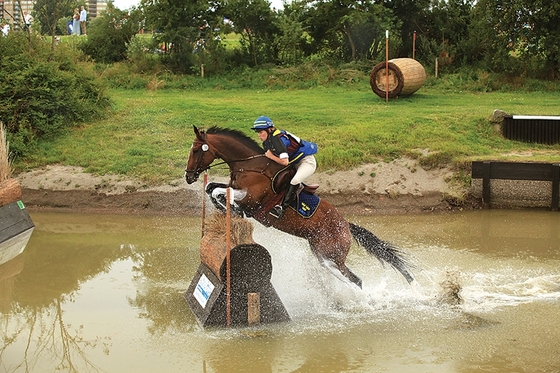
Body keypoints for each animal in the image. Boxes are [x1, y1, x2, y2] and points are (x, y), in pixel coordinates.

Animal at [185, 125, 416, 288]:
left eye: (196, 150)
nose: (188, 177)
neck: (249, 165)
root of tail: (346, 225)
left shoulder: (251, 200)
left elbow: (219, 191)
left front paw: (231, 208)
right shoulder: (236, 189)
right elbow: (212, 188)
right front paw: (226, 209)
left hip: (331, 256)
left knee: (354, 280)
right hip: (321, 253)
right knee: (348, 277)